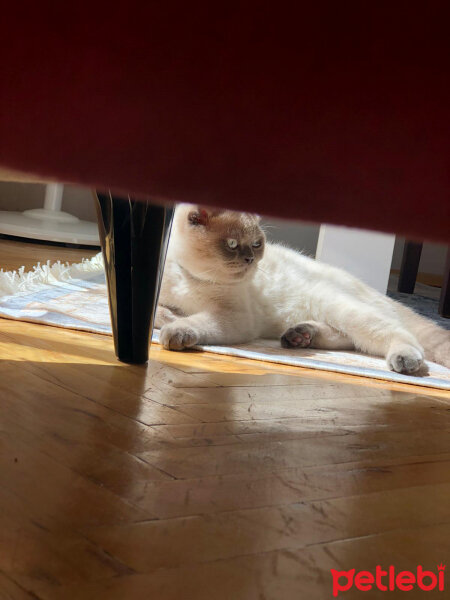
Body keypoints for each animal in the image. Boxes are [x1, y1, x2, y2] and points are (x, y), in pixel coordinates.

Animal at [156, 209, 450, 372]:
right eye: (232, 244)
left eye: (256, 244)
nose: (250, 260)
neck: (189, 275)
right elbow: (161, 314)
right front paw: (170, 319)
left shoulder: (233, 317)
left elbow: (193, 321)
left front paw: (175, 331)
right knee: (350, 340)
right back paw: (300, 336)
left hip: (340, 308)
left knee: (398, 335)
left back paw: (405, 359)